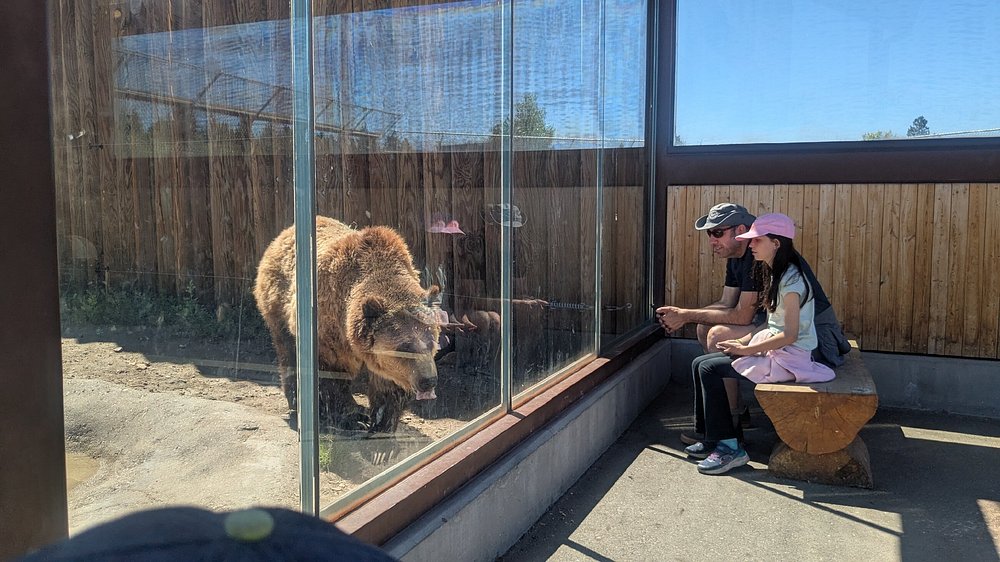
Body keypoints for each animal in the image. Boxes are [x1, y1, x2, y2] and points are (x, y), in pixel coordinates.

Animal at [253, 216, 440, 433]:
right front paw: (352, 417)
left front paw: (382, 420)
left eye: (431, 342)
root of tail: (283, 234)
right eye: (405, 347)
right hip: (279, 307)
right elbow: (331, 377)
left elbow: (387, 383)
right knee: (288, 352)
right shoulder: (329, 330)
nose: (428, 380)